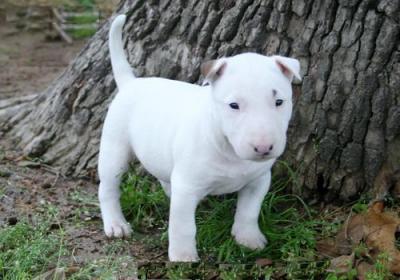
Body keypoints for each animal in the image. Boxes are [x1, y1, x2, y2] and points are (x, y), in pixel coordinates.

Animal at [99, 14, 300, 262]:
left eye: (279, 102)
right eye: (234, 105)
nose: (263, 148)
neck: (228, 148)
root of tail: (131, 83)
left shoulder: (259, 180)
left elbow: (249, 211)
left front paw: (249, 239)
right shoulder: (187, 186)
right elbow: (183, 225)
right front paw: (183, 257)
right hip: (114, 149)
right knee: (108, 188)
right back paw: (116, 224)